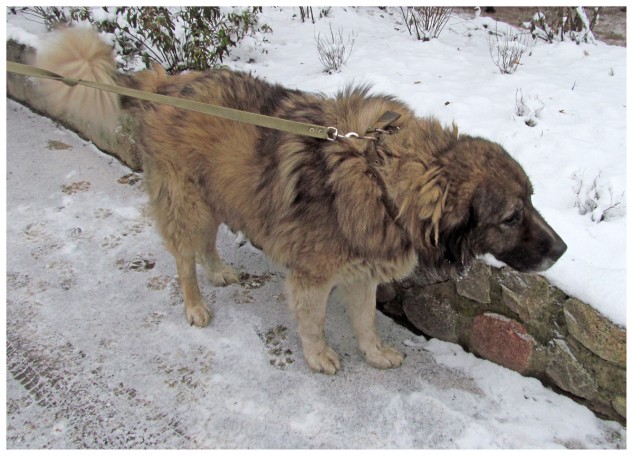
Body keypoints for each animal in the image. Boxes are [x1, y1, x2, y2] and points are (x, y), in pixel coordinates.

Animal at [33, 28, 567, 374]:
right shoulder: (313, 276)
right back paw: (195, 304)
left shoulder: (361, 272)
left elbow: (366, 321)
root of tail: (164, 83)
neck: (381, 174)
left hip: (217, 194)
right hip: (187, 202)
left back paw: (219, 271)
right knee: (184, 258)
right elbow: (313, 321)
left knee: (206, 244)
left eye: (533, 200)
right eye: (511, 217)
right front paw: (318, 355)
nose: (562, 250)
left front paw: (374, 353)